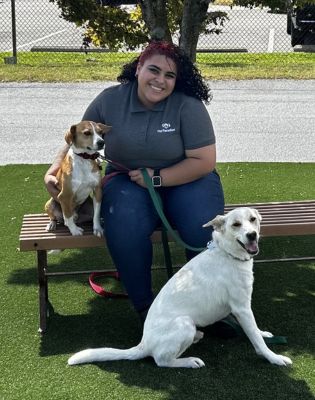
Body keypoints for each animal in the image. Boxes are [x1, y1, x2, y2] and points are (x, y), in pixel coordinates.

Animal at [69, 209, 294, 368]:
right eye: (236, 224)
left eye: (253, 219)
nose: (252, 235)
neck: (227, 254)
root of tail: (143, 343)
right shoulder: (241, 307)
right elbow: (256, 339)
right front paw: (274, 357)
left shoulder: (245, 307)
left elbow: (255, 330)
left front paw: (264, 333)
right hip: (184, 323)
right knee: (161, 360)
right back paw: (189, 361)